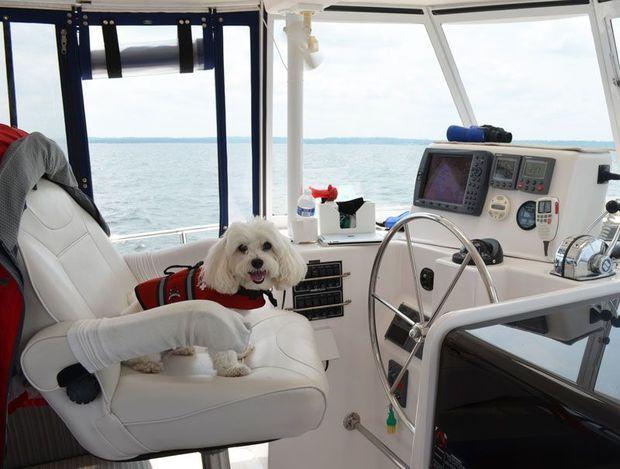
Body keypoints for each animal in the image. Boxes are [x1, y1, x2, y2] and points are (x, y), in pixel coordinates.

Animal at [122, 217, 306, 376]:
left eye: (267, 245)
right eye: (242, 248)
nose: (257, 262)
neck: (240, 287)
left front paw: (241, 352)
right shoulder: (220, 324)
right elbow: (224, 350)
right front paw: (232, 369)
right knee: (135, 359)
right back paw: (148, 365)